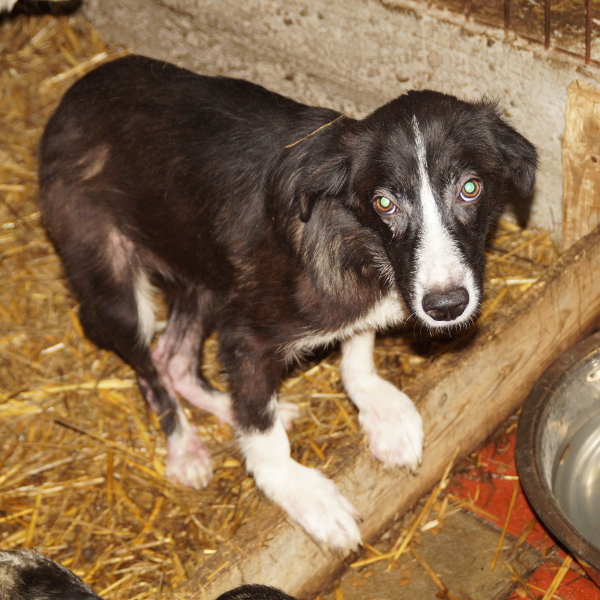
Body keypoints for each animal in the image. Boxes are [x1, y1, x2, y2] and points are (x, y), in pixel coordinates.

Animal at [38, 54, 540, 552]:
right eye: (384, 203)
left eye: (471, 188)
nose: (445, 305)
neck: (358, 238)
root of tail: (70, 97)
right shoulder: (246, 336)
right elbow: (264, 438)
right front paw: (305, 495)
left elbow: (357, 347)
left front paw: (382, 411)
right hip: (114, 281)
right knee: (151, 368)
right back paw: (185, 448)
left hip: (204, 272)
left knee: (174, 359)